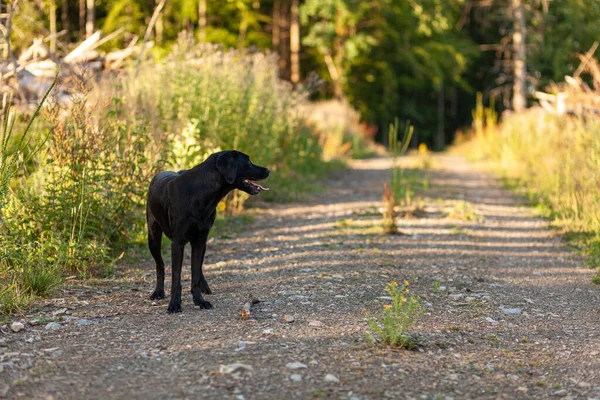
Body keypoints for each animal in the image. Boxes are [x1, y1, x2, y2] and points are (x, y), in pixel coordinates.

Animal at [145, 150, 270, 312]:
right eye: (247, 162)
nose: (268, 170)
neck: (200, 193)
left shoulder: (200, 240)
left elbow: (195, 274)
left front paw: (199, 300)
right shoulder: (177, 243)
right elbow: (176, 278)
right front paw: (174, 304)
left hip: (202, 242)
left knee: (198, 269)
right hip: (153, 236)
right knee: (160, 265)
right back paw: (158, 292)